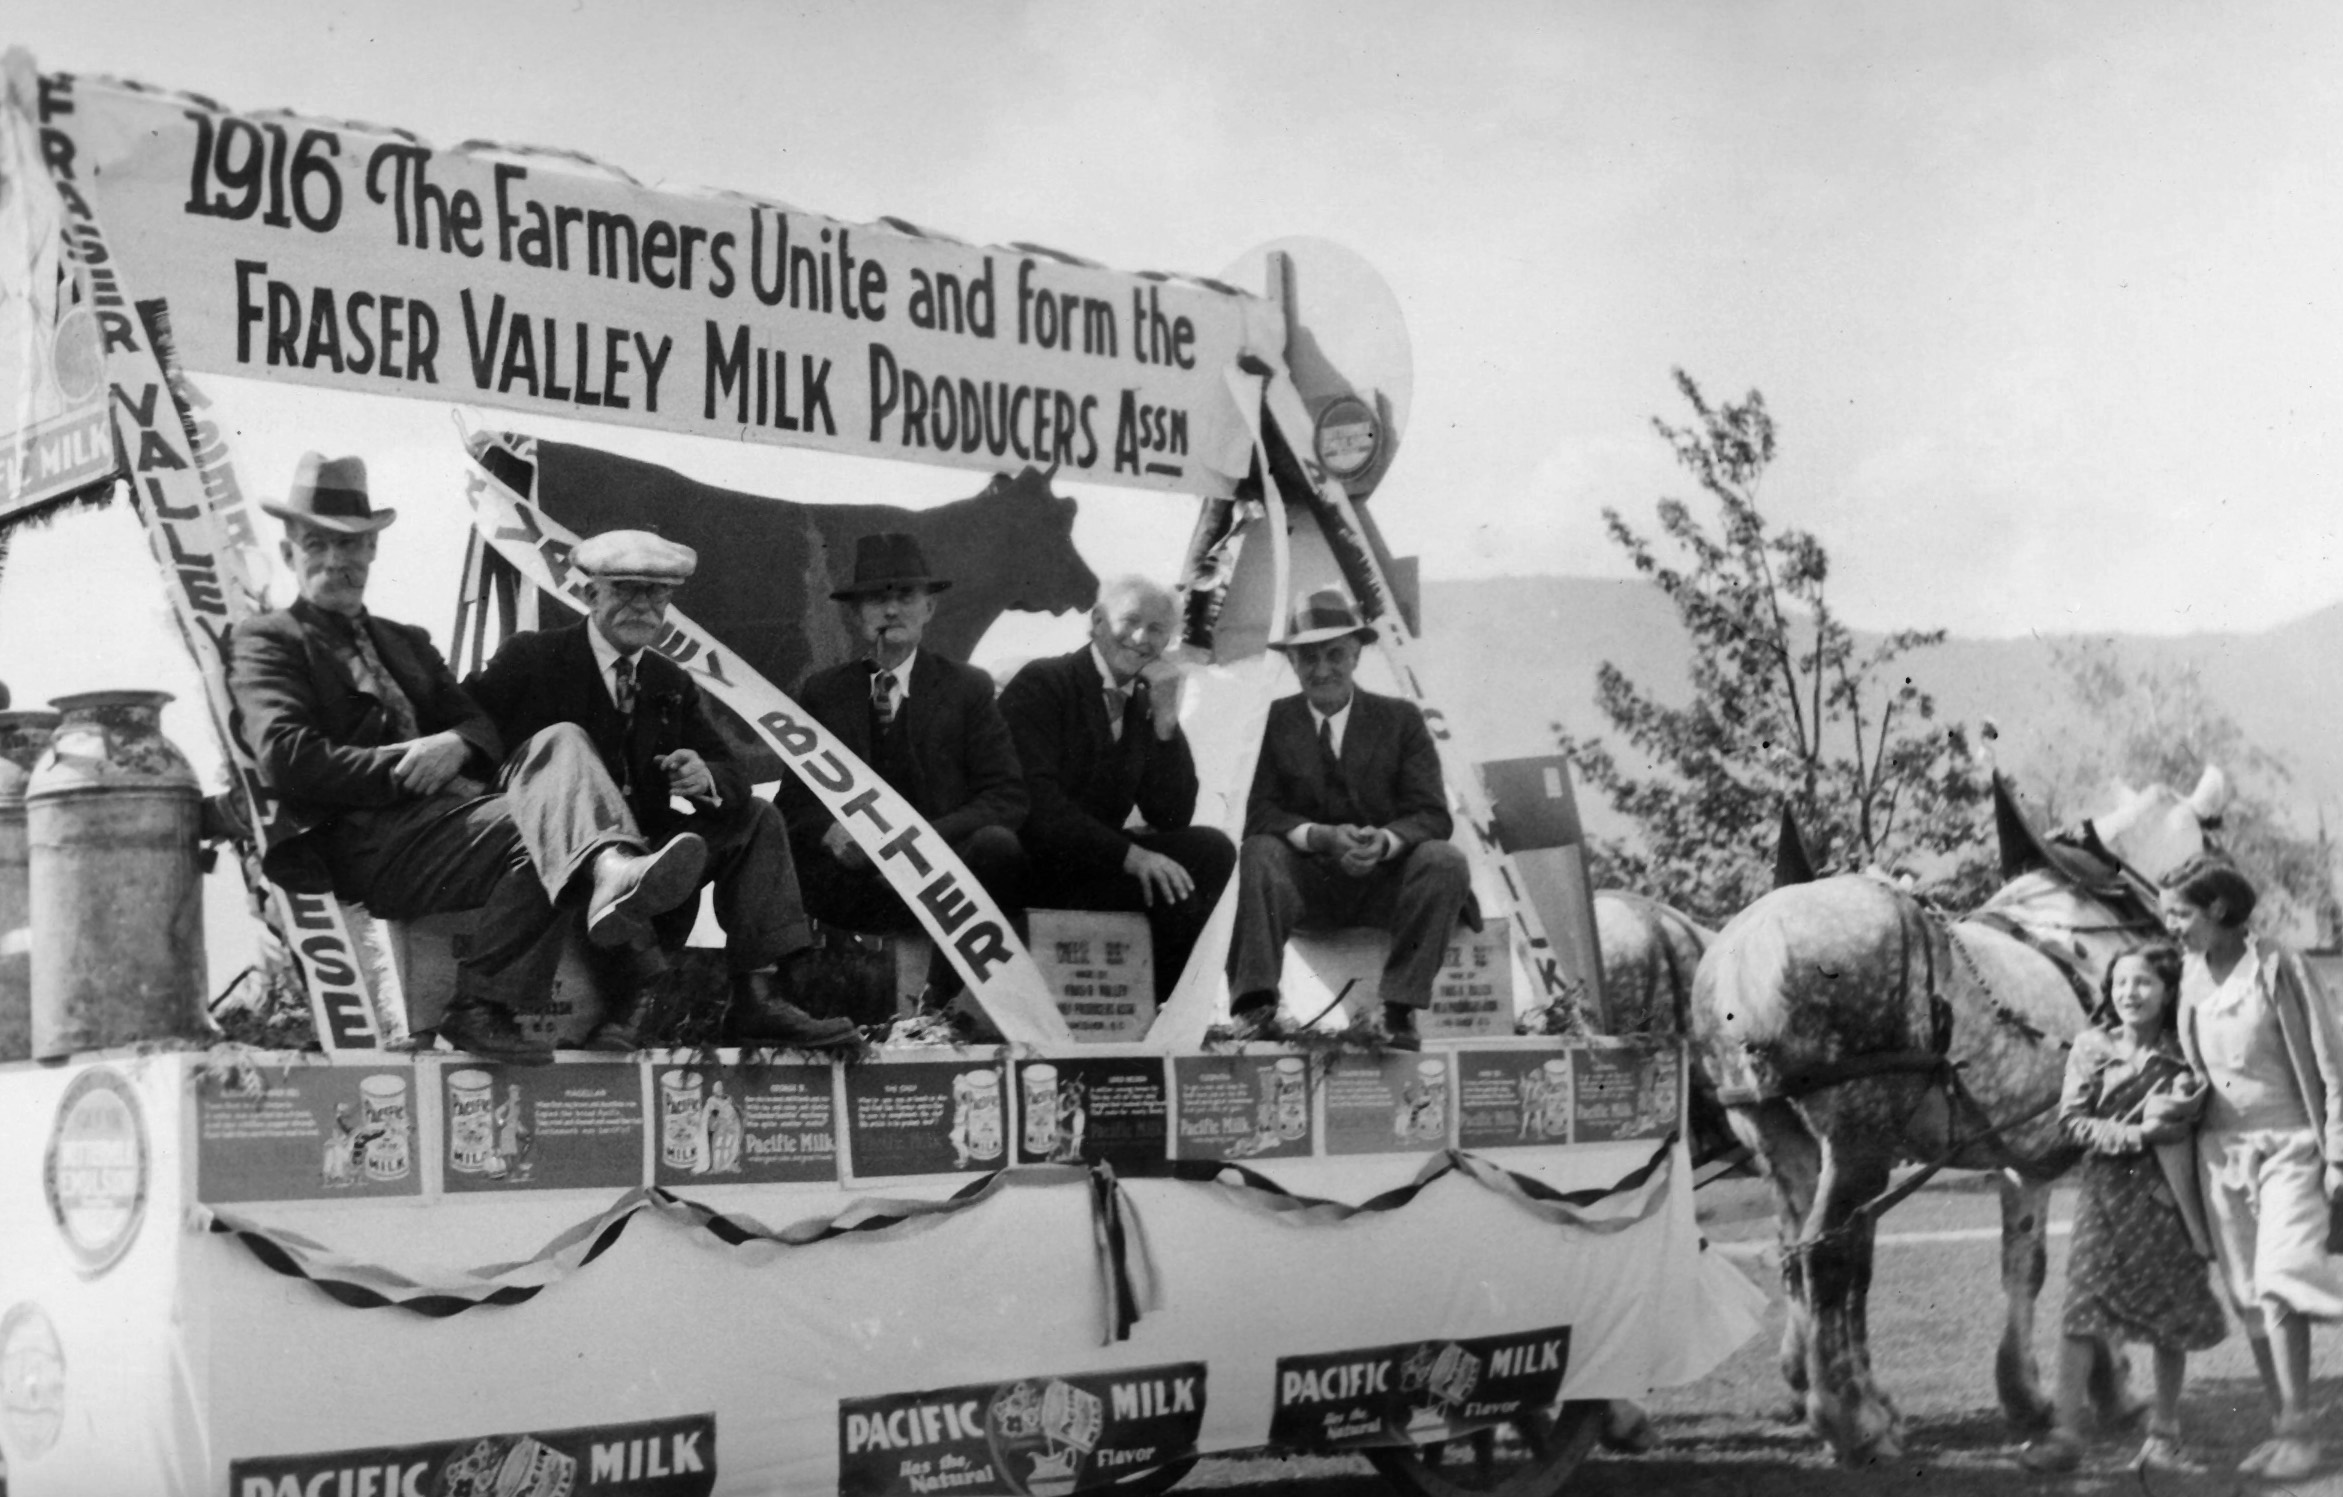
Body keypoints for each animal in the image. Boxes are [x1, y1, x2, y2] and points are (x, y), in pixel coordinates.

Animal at [1696, 773, 2221, 1461]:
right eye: (2214, 836)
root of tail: (1746, 953)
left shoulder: (2026, 1155)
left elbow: (2027, 1264)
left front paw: (2028, 1393)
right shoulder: (2091, 1142)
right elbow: (2094, 1256)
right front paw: (2114, 1387)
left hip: (1778, 1138)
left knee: (1802, 1253)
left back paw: (1846, 1398)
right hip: (1858, 1139)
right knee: (1827, 1257)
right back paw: (1853, 1422)